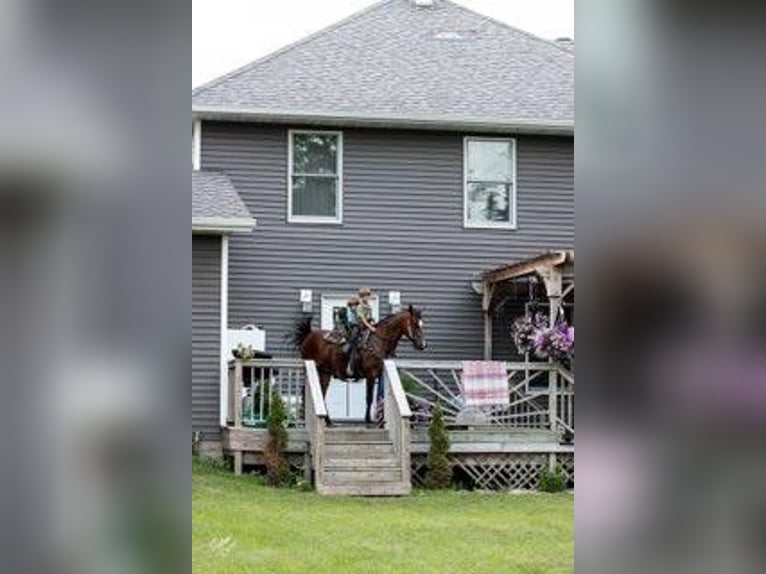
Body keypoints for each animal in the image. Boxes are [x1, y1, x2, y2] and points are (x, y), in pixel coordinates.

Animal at [292, 306, 428, 428]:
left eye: (422, 324)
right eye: (415, 324)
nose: (423, 345)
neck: (377, 342)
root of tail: (309, 335)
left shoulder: (380, 376)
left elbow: (380, 399)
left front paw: (379, 421)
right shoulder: (370, 375)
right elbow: (369, 397)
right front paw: (368, 421)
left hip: (325, 373)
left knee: (322, 394)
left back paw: (329, 421)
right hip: (314, 370)